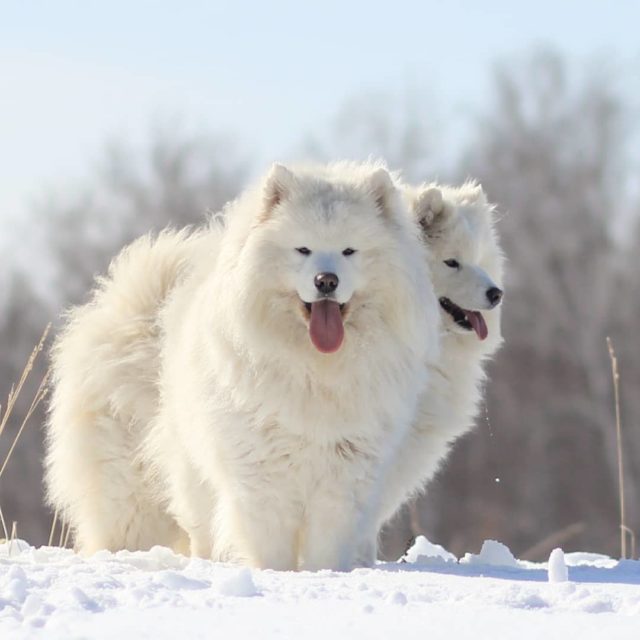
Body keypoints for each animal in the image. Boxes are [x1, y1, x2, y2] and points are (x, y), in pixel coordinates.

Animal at [42, 161, 438, 568]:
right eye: (303, 249)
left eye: (349, 251)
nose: (326, 280)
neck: (315, 371)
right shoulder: (261, 472)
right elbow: (269, 543)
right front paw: (273, 574)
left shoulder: (344, 475)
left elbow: (327, 545)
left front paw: (323, 574)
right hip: (165, 480)